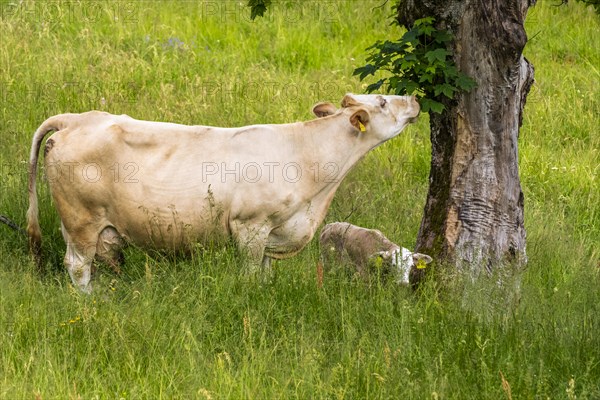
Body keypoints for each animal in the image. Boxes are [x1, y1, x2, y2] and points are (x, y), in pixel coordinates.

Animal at [28, 94, 420, 294]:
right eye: (383, 102)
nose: (415, 98)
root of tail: (77, 118)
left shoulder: (273, 233)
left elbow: (264, 276)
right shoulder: (250, 226)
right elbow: (249, 276)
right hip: (82, 219)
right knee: (78, 266)